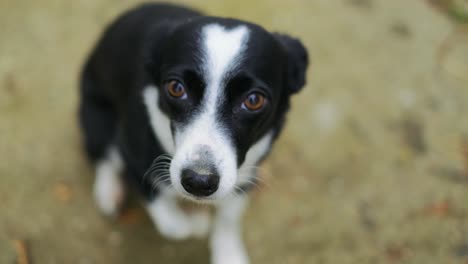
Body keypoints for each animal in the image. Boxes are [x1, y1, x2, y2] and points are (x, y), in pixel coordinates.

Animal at [79, 3, 308, 262]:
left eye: (254, 100)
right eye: (176, 88)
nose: (199, 182)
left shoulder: (244, 172)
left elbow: (229, 216)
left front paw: (228, 253)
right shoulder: (135, 157)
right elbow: (172, 222)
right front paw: (197, 223)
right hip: (96, 118)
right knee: (104, 156)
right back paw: (108, 192)